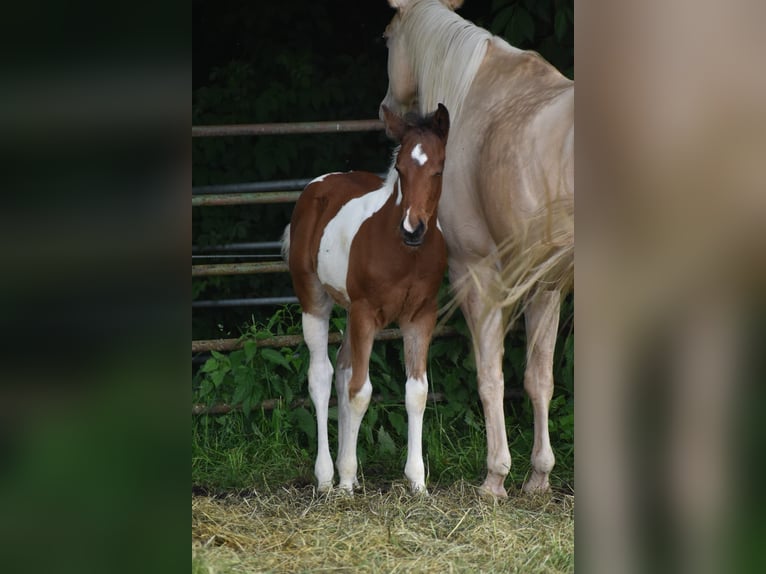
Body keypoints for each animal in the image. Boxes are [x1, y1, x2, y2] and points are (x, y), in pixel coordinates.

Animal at [281, 104, 450, 493]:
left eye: (438, 168)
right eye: (399, 168)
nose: (412, 229)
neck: (407, 255)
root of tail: (320, 184)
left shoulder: (421, 316)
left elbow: (417, 391)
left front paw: (417, 481)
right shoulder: (365, 312)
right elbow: (360, 391)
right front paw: (344, 481)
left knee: (342, 370)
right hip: (315, 300)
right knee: (323, 376)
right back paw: (328, 477)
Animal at [380, 0, 574, 498]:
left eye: (387, 38)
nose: (387, 108)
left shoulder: (475, 274)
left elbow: (490, 377)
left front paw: (494, 477)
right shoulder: (545, 284)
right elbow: (539, 379)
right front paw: (538, 476)